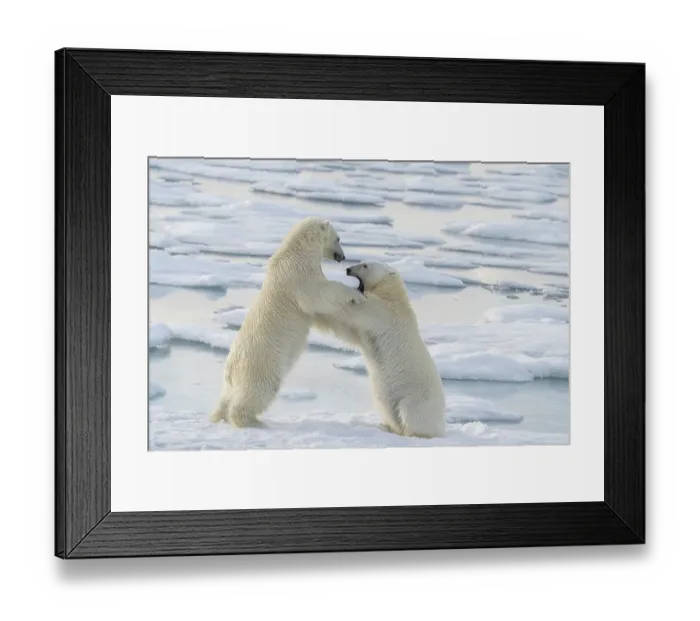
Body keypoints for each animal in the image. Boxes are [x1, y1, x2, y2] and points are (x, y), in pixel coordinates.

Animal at [210, 217, 366, 428]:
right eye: (339, 238)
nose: (343, 256)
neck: (297, 251)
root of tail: (231, 368)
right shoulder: (298, 274)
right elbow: (318, 293)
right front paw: (355, 296)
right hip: (262, 366)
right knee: (259, 391)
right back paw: (252, 421)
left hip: (233, 379)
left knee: (226, 397)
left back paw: (219, 416)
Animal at [313, 261, 446, 438]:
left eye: (365, 265)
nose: (348, 269)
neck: (393, 296)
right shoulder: (367, 329)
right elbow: (347, 333)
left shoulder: (382, 312)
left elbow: (355, 312)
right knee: (388, 410)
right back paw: (386, 426)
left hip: (416, 398)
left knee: (409, 413)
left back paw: (412, 433)